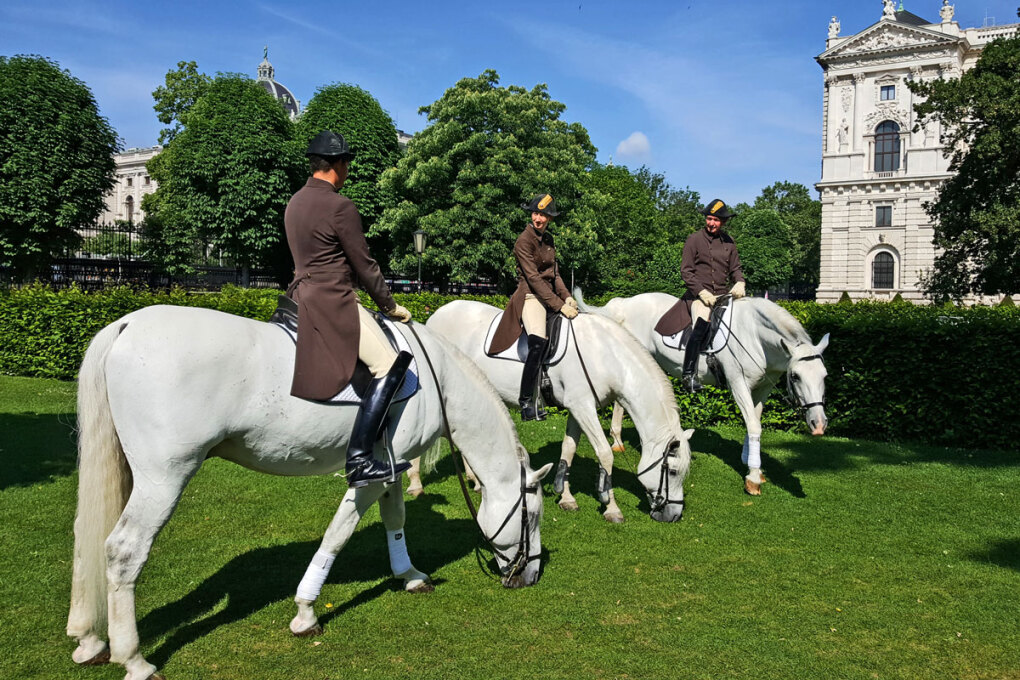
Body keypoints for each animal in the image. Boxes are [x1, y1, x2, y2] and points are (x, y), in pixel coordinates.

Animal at [65, 305, 550, 676]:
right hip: (165, 477)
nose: (530, 576)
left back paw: (88, 639)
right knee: (124, 550)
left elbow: (395, 520)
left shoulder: (391, 467)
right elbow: (338, 533)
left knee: (86, 535)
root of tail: (128, 325)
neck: (438, 380)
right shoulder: (369, 477)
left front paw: (409, 574)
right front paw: (305, 612)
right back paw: (134, 659)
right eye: (532, 516)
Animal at [422, 299, 693, 526]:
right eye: (672, 471)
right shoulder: (583, 407)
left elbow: (568, 448)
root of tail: (435, 315)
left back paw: (475, 480)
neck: (604, 354)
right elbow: (605, 454)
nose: (674, 515)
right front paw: (611, 506)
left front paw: (565, 496)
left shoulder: (578, 408)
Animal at [579, 293, 824, 495]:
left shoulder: (763, 387)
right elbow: (754, 425)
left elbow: (753, 422)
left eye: (825, 376)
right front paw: (753, 478)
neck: (754, 336)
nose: (819, 425)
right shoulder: (738, 383)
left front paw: (749, 460)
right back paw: (617, 439)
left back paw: (617, 438)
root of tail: (625, 303)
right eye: (796, 376)